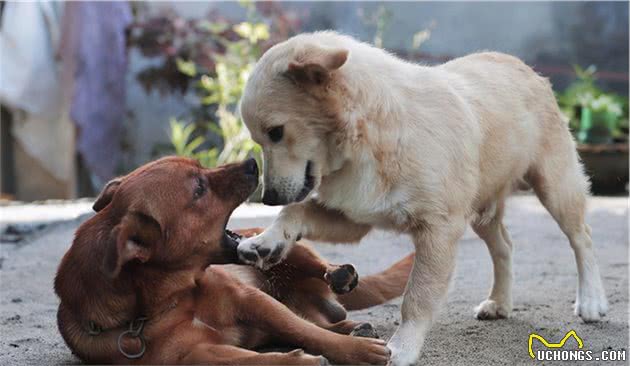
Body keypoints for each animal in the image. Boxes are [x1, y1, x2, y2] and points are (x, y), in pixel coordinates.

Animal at [54, 157, 414, 364]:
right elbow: (252, 360)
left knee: (315, 290)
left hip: (280, 245)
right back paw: (354, 328)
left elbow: (308, 333)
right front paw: (297, 360)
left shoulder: (252, 300)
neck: (168, 300)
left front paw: (356, 353)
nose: (253, 161)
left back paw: (339, 278)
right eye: (199, 188)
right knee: (321, 321)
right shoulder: (196, 354)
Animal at [236, 32, 608, 366]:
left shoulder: (438, 230)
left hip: (555, 187)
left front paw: (402, 347)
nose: (267, 197)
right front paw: (266, 241)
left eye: (276, 133)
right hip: (481, 211)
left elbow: (417, 296)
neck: (372, 136)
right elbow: (294, 212)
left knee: (582, 237)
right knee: (504, 246)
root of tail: (519, 64)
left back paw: (591, 300)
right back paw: (499, 302)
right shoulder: (353, 218)